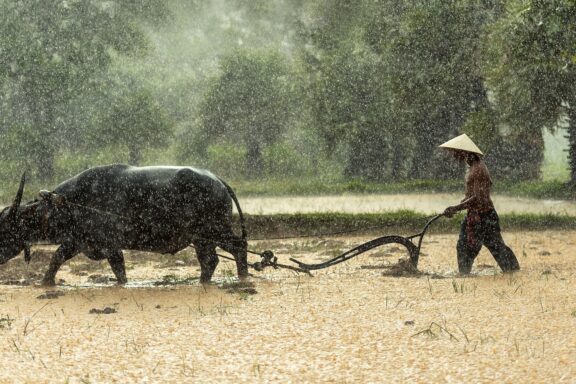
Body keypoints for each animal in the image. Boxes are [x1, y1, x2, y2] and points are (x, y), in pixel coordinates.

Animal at [0, 164, 246, 284]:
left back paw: (243, 277)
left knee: (238, 247)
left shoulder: (109, 246)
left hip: (215, 230)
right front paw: (46, 282)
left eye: (4, 229)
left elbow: (118, 270)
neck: (70, 203)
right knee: (210, 261)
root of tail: (218, 181)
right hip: (203, 239)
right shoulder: (78, 242)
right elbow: (56, 259)